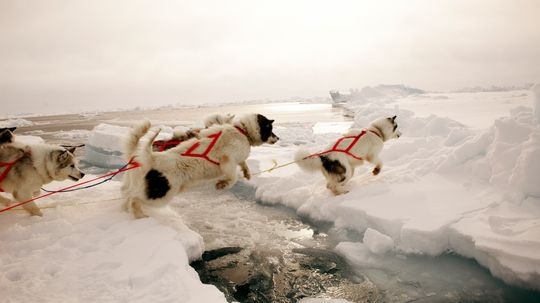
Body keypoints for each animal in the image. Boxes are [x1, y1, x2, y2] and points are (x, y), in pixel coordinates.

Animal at [120, 114, 276, 218]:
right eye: (270, 128)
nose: (278, 138)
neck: (243, 132)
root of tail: (152, 158)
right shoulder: (227, 161)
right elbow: (232, 178)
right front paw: (222, 184)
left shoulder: (237, 159)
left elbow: (243, 163)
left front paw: (247, 173)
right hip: (161, 194)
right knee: (134, 197)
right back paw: (139, 214)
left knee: (127, 194)